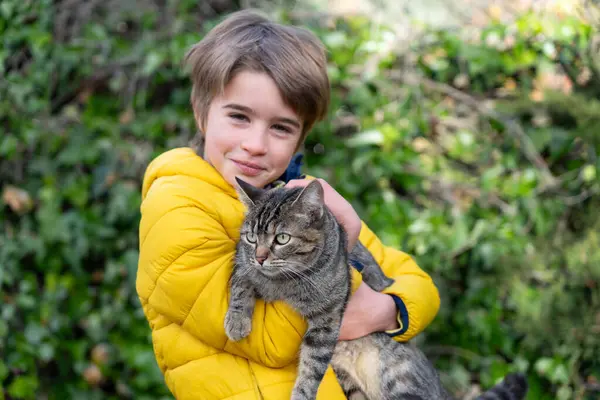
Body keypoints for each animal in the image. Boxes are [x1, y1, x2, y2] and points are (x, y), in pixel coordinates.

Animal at [224, 179, 524, 400]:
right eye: (251, 238)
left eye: (282, 238)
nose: (260, 257)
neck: (281, 282)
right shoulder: (241, 262)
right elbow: (241, 283)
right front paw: (236, 320)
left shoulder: (328, 317)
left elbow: (311, 369)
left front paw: (301, 395)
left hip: (399, 379)